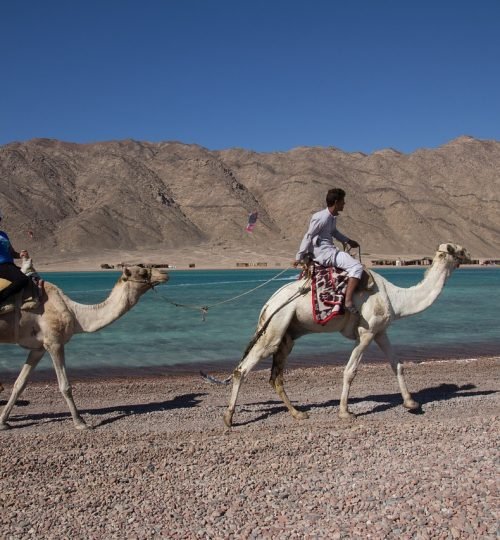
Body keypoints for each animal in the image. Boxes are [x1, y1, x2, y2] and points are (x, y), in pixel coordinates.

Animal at [0, 266, 168, 430]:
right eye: (142, 272)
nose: (164, 274)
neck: (75, 314)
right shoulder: (54, 343)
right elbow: (65, 386)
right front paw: (80, 422)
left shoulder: (39, 348)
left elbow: (20, 383)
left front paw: (3, 422)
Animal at [215, 244, 468, 426]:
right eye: (456, 249)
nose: (468, 254)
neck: (396, 298)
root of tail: (268, 305)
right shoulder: (366, 332)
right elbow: (350, 371)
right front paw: (345, 412)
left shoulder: (380, 331)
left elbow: (397, 364)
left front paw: (411, 403)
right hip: (276, 328)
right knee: (242, 369)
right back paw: (229, 418)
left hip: (287, 334)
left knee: (275, 377)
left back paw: (298, 414)